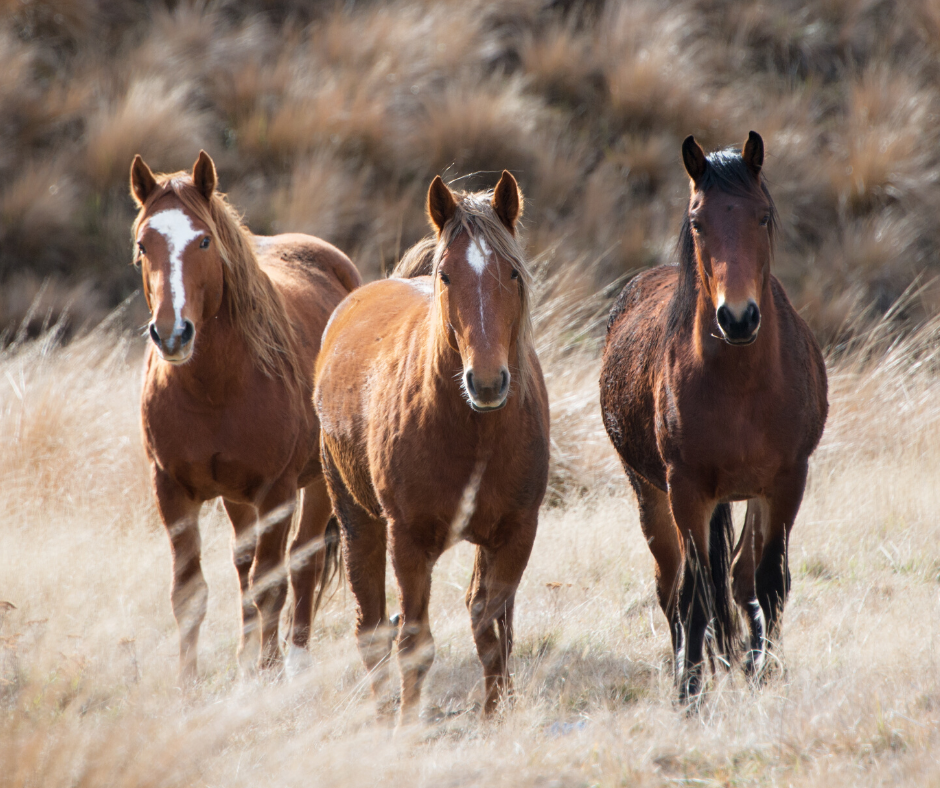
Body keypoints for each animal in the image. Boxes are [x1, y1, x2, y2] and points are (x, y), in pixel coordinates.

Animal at [134, 151, 362, 680]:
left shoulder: (276, 490)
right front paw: (189, 683)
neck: (214, 389)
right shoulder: (171, 489)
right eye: (142, 244)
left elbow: (272, 582)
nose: (172, 334)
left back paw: (296, 661)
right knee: (243, 564)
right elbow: (190, 592)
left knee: (302, 561)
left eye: (203, 240)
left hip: (317, 483)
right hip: (236, 498)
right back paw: (246, 656)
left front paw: (269, 672)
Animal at [316, 174, 552, 728]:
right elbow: (414, 641)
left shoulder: (516, 534)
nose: (486, 382)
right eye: (446, 276)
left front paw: (494, 716)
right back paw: (384, 714)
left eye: (512, 273)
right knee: (371, 624)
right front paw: (406, 726)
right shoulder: (408, 540)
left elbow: (492, 629)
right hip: (358, 519)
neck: (475, 432)